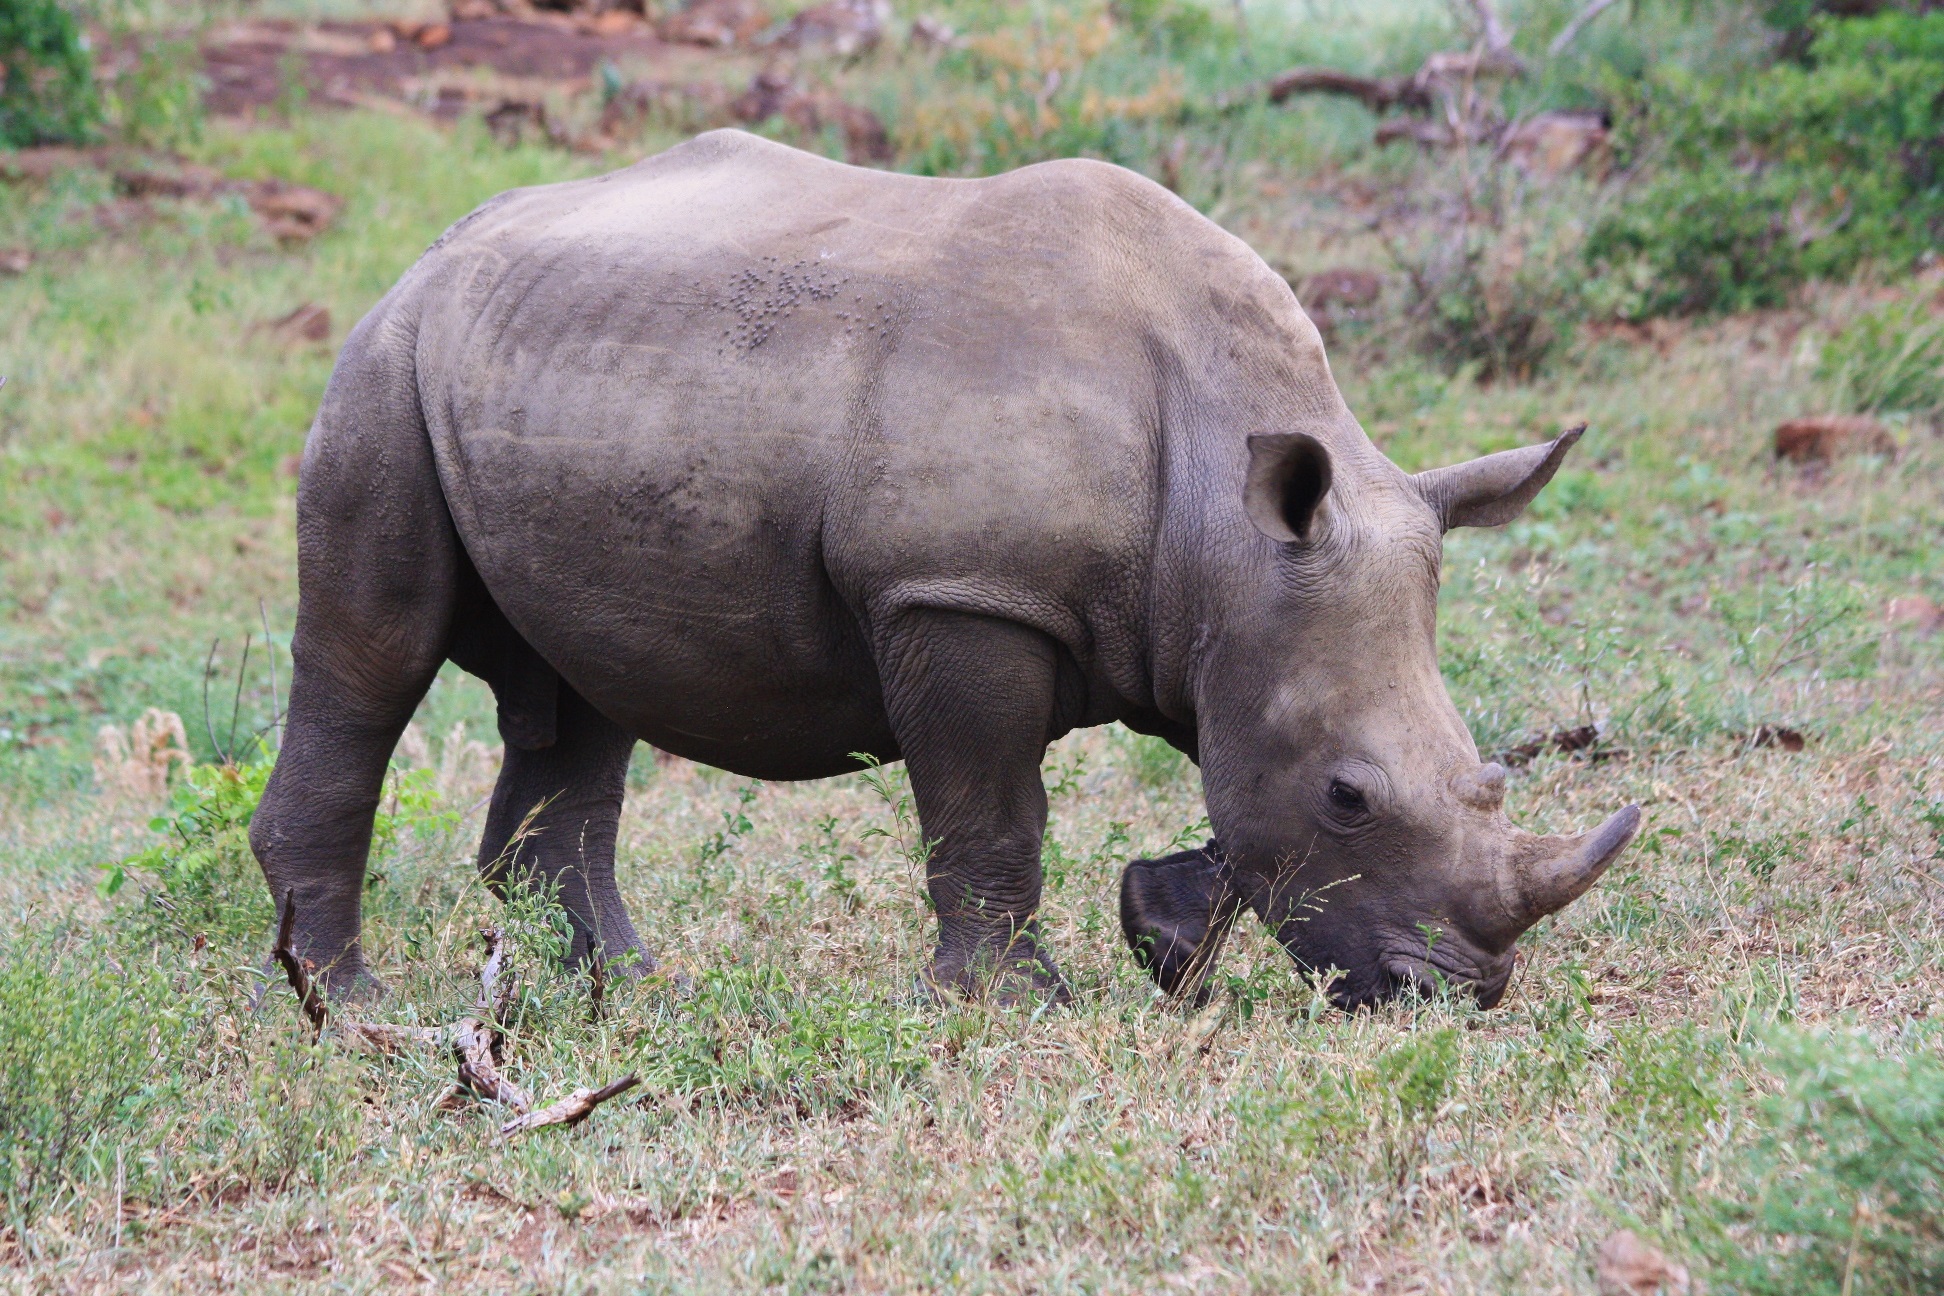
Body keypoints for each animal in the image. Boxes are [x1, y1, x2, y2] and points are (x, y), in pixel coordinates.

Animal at [246, 124, 1640, 1010]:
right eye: (1350, 796)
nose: (1456, 997)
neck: (1218, 521)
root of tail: (436, 248)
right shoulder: (962, 592)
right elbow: (990, 806)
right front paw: (1014, 1007)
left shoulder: (1241, 613)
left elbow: (1234, 805)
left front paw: (1161, 939)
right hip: (384, 368)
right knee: (374, 655)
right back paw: (348, 1008)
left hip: (557, 372)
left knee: (585, 693)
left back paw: (632, 996)